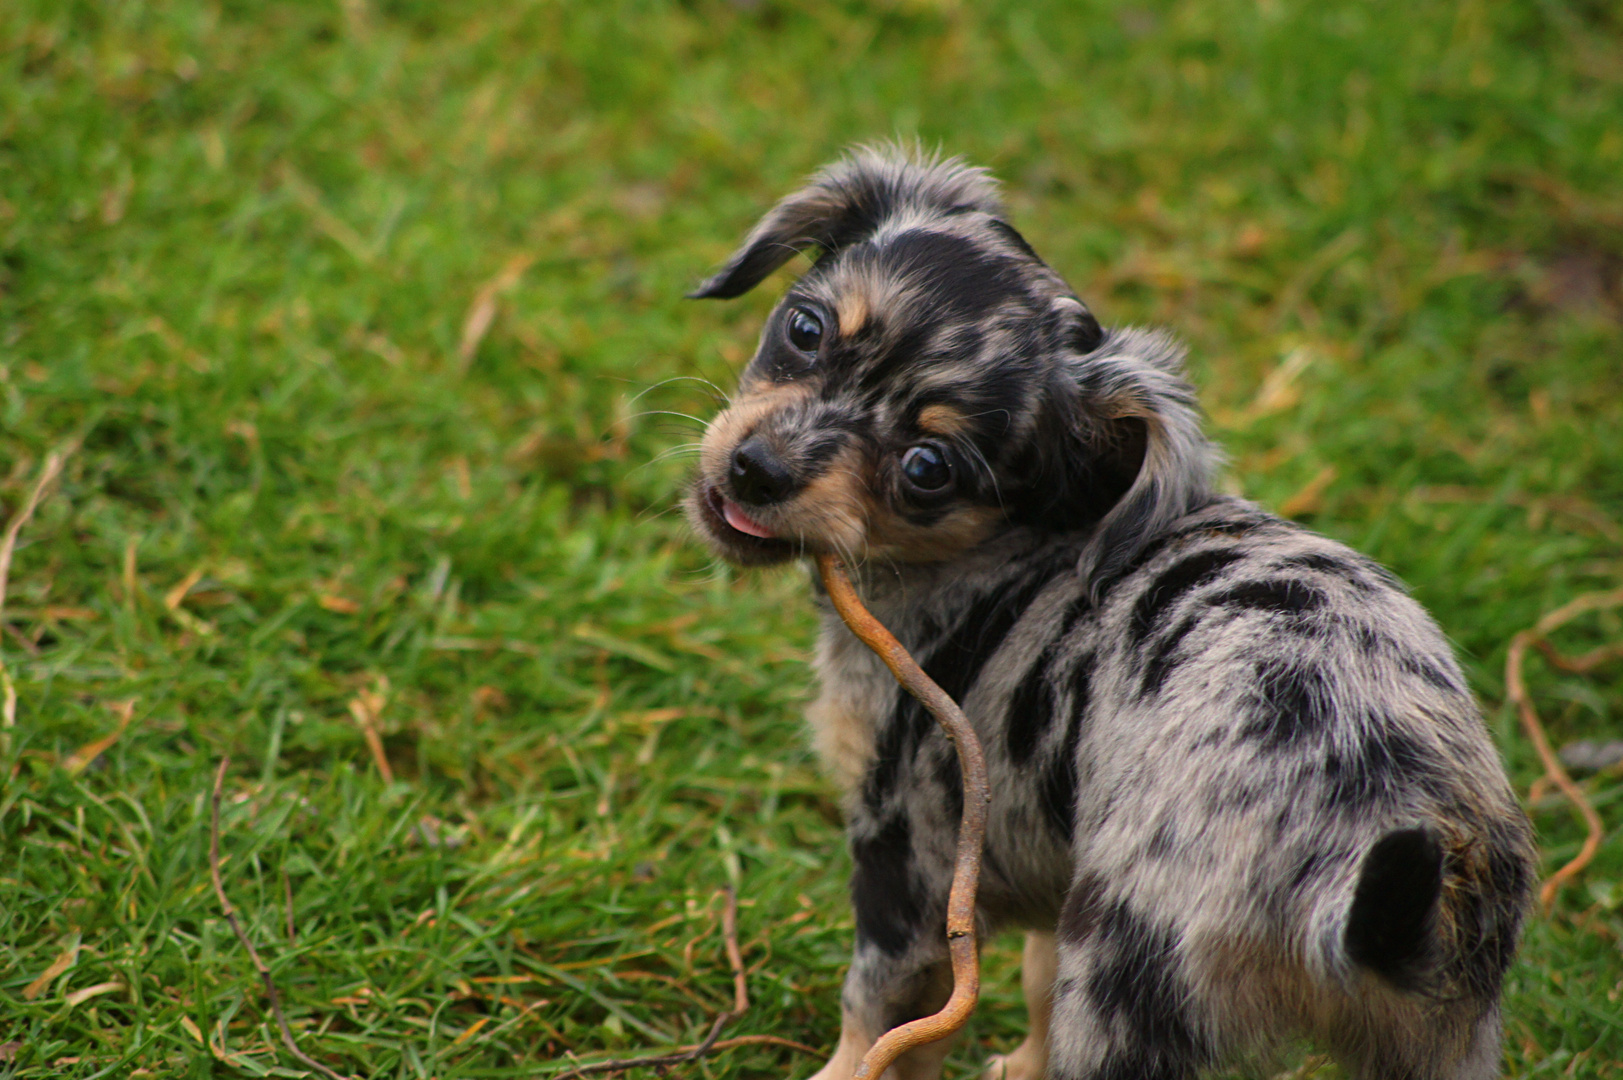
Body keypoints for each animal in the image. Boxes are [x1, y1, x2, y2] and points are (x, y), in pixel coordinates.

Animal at [681, 147, 1532, 1078]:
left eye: (927, 468)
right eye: (804, 330)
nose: (756, 470)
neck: (1020, 541)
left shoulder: (909, 872)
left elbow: (869, 1026)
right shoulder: (1053, 870)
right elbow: (1027, 986)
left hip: (1123, 973)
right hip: (1443, 1042)